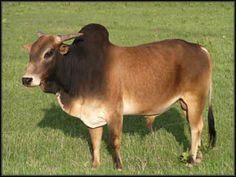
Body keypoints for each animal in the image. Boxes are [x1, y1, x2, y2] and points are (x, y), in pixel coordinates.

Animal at [21, 23, 216, 170]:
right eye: (31, 54)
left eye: (48, 53)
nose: (26, 79)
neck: (81, 68)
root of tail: (199, 47)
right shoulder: (92, 115)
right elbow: (95, 141)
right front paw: (95, 165)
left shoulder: (114, 112)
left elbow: (115, 140)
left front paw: (119, 166)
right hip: (184, 104)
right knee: (195, 127)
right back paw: (198, 157)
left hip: (195, 99)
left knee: (196, 127)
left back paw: (191, 160)